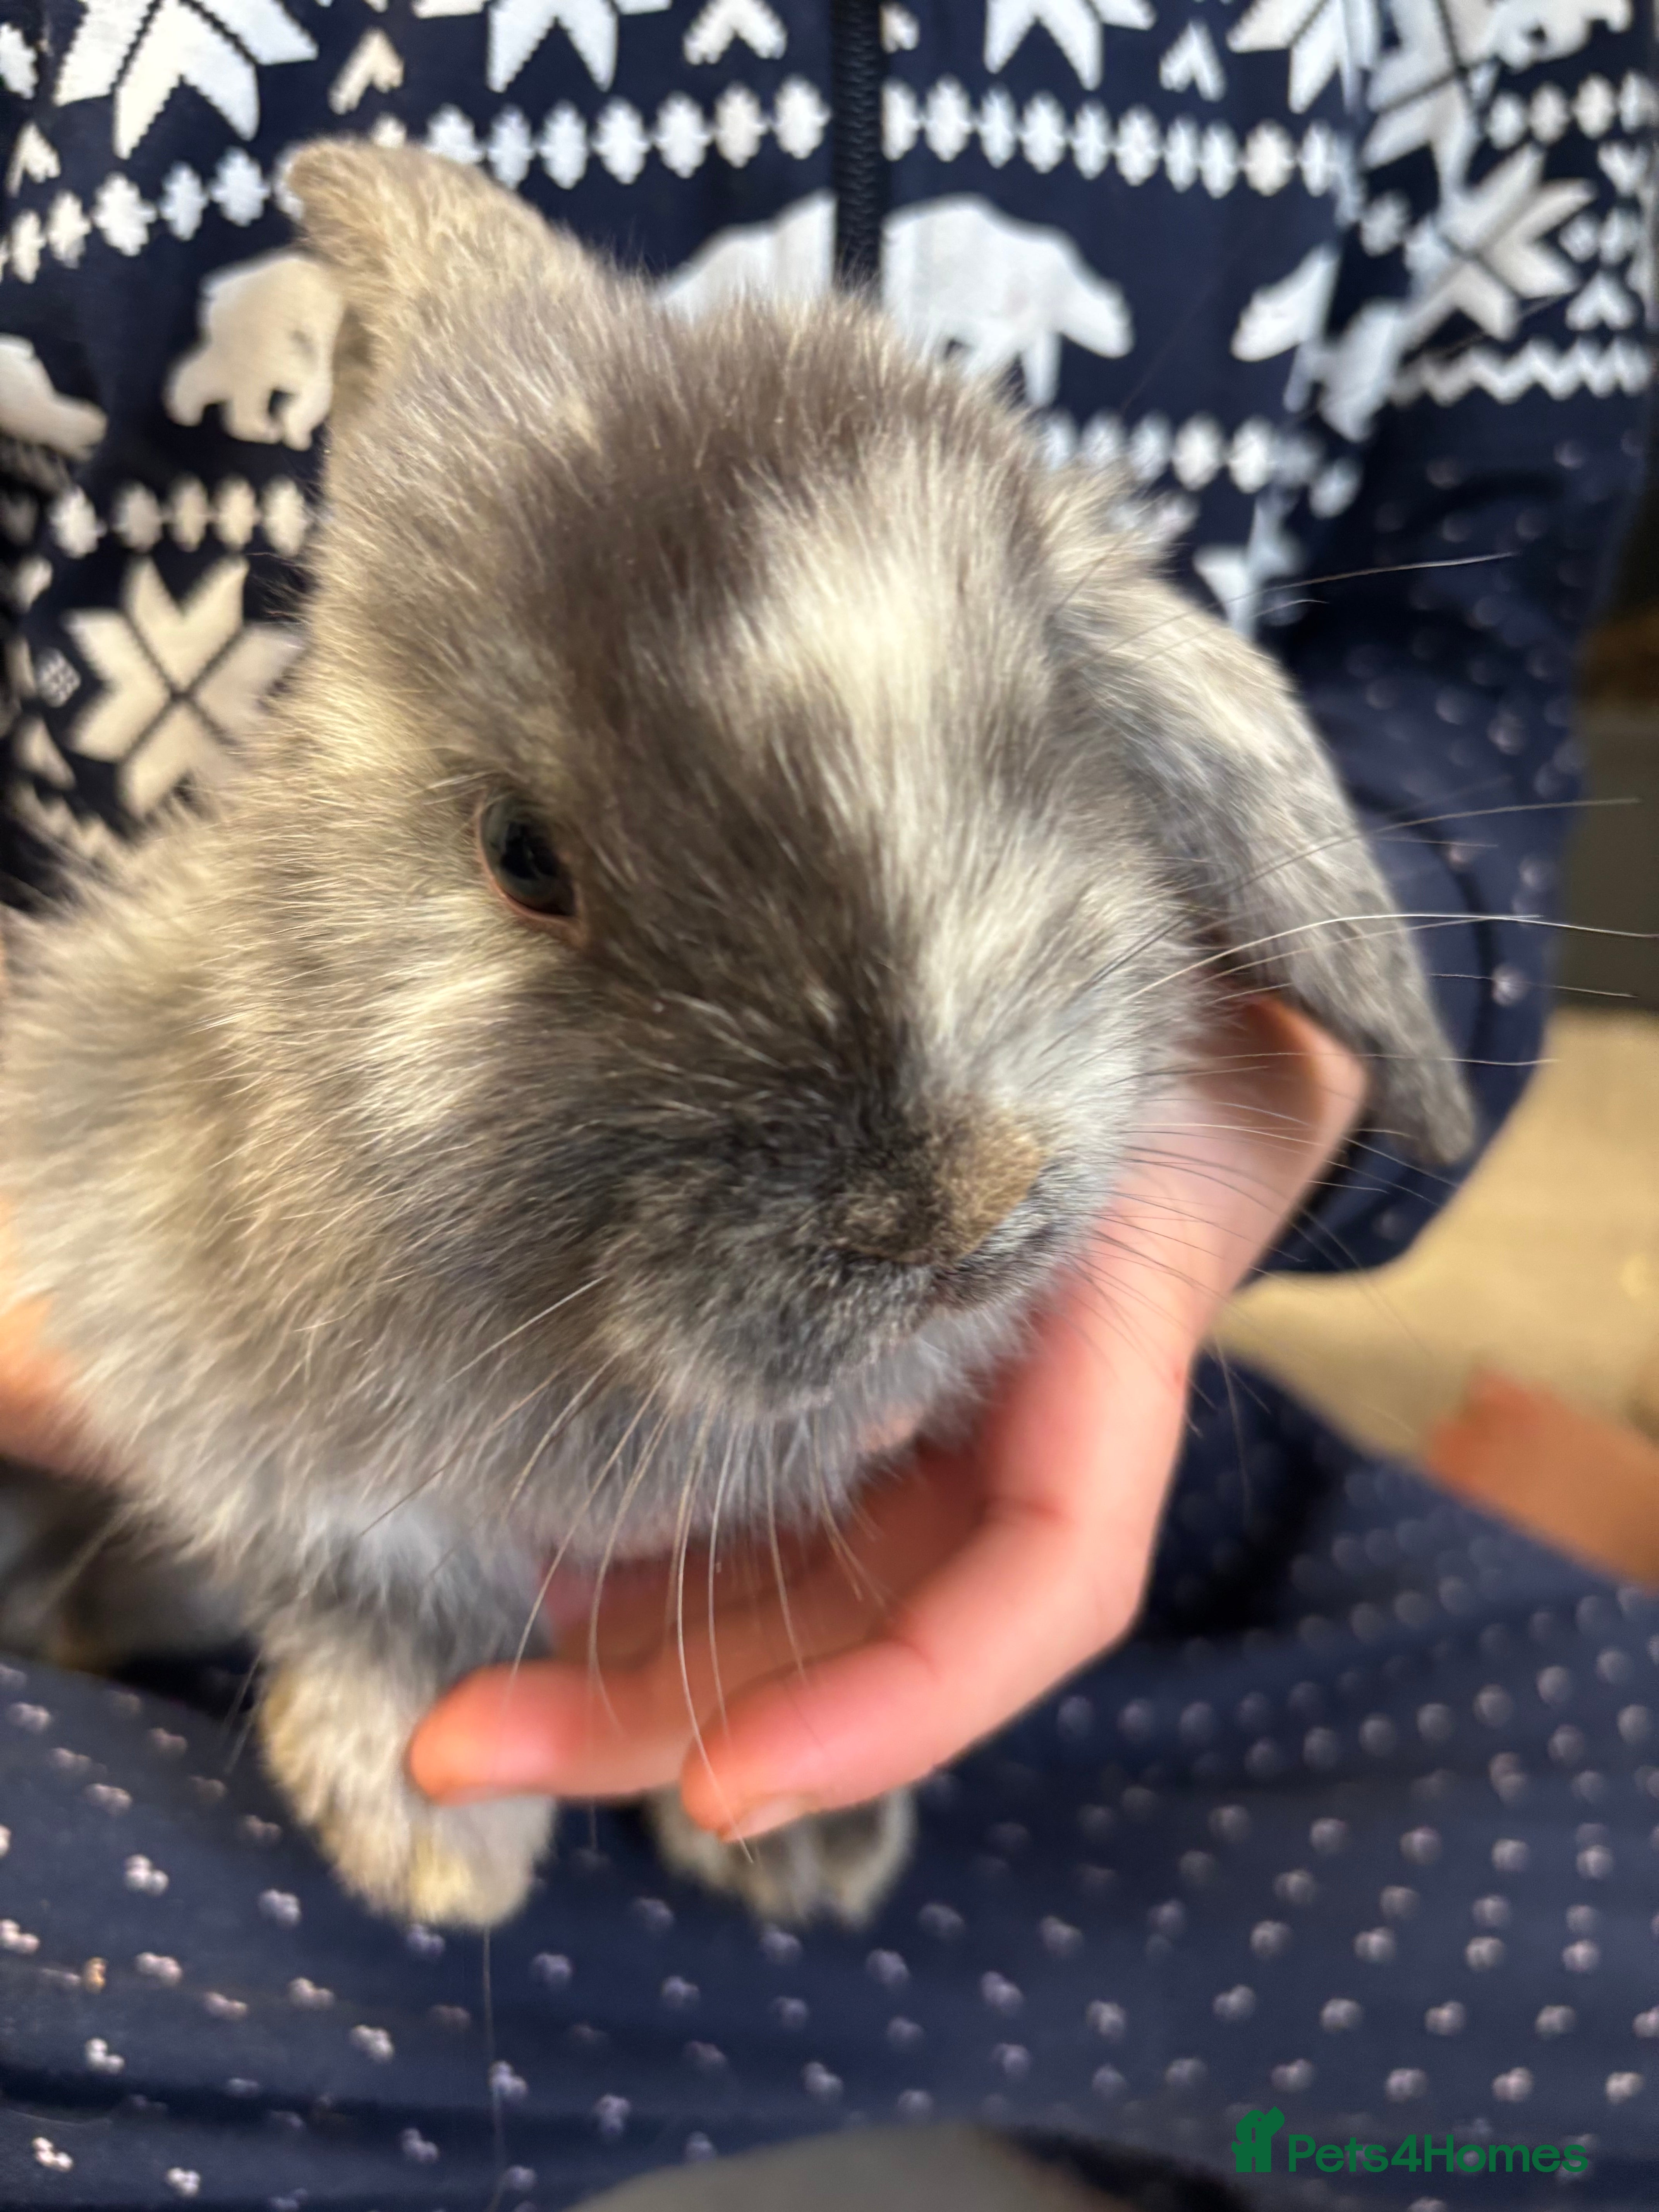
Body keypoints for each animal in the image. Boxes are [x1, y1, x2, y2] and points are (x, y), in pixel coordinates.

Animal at [0, 142, 1473, 1932]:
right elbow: (374, 1573)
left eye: (1042, 755)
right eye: (522, 857)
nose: (954, 1212)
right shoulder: (179, 1333)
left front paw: (804, 1846)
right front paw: (430, 1839)